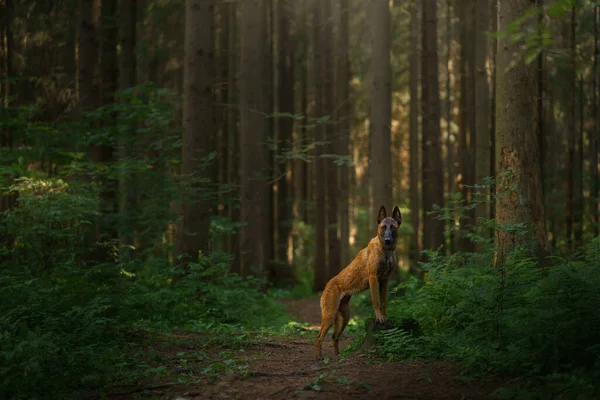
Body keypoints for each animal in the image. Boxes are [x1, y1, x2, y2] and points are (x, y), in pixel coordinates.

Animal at [314, 205, 404, 358]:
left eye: (393, 227)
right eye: (383, 227)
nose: (387, 240)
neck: (385, 251)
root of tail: (327, 286)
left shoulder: (385, 280)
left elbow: (384, 302)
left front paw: (385, 317)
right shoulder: (373, 278)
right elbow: (376, 301)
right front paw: (379, 317)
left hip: (345, 317)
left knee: (334, 336)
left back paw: (337, 356)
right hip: (329, 315)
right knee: (319, 337)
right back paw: (319, 357)